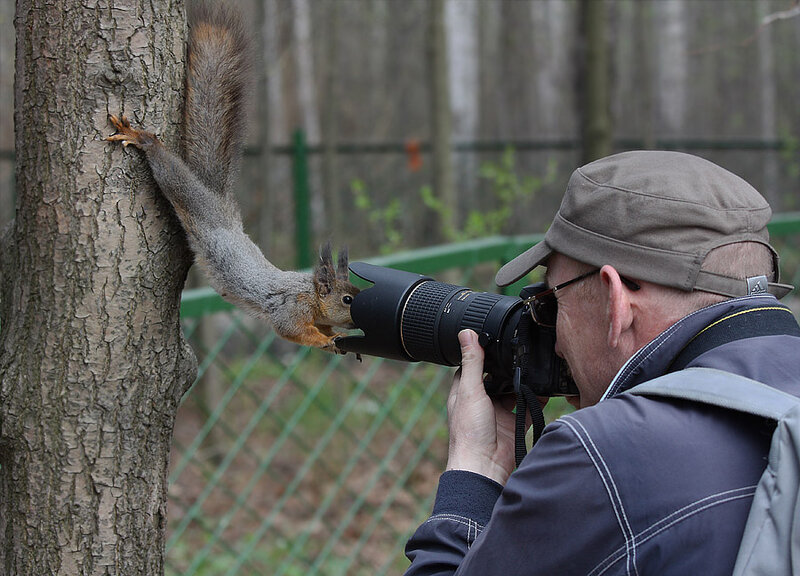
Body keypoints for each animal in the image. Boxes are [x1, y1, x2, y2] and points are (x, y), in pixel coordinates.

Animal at [106, 2, 359, 353]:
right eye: (348, 299)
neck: (309, 292)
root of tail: (219, 202)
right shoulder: (291, 309)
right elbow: (291, 330)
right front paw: (327, 340)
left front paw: (335, 335)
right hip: (193, 200)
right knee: (171, 174)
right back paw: (143, 140)